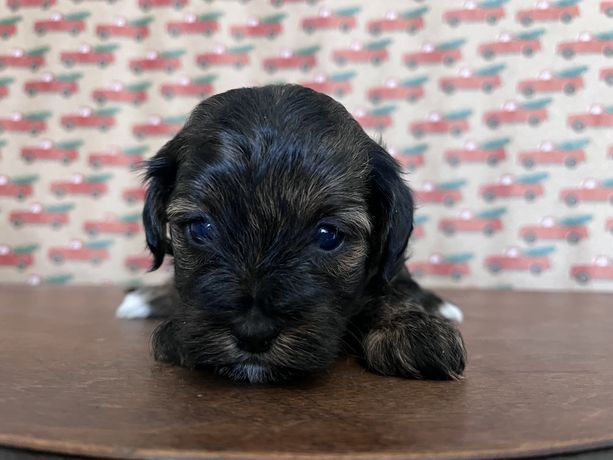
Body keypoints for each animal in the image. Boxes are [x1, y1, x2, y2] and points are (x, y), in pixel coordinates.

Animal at [117, 84, 466, 384]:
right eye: (202, 228)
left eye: (328, 235)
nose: (253, 331)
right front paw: (174, 331)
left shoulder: (388, 268)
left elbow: (394, 288)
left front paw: (414, 332)